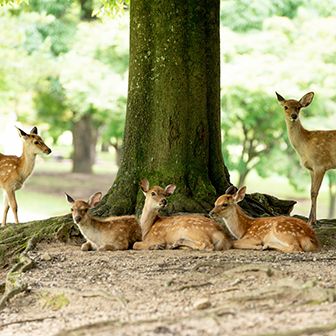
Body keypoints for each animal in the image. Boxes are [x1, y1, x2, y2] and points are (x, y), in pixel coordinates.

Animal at [276, 91, 336, 226]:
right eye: (285, 107)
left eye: (299, 107)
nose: (294, 116)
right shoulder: (311, 169)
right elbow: (311, 191)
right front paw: (312, 220)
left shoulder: (320, 165)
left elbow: (314, 192)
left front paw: (312, 222)